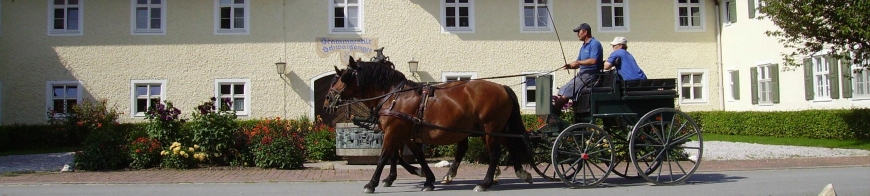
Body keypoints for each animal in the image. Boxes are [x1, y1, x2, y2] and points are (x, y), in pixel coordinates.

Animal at [326, 57, 536, 193]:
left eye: (342, 77)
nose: (327, 100)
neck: (394, 96)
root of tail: (502, 87)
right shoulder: (404, 134)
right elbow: (413, 156)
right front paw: (426, 179)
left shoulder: (393, 131)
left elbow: (385, 156)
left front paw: (372, 183)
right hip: (495, 129)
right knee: (509, 147)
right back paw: (520, 173)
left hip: (490, 129)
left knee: (494, 154)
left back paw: (484, 182)